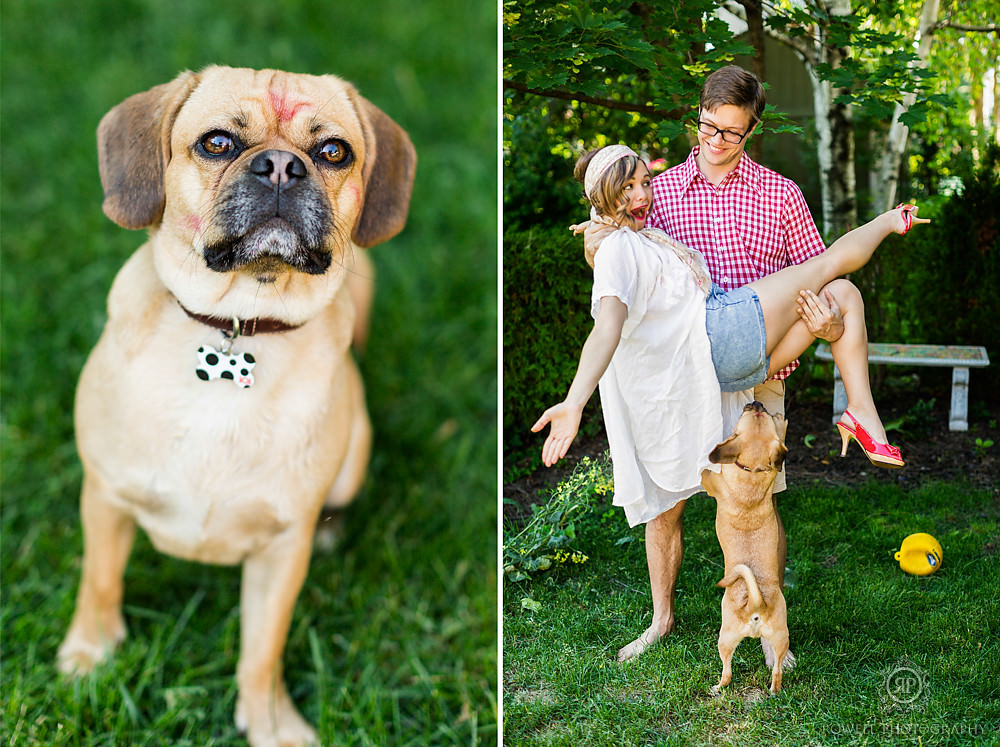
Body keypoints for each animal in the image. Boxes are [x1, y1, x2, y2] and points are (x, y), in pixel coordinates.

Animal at [56, 65, 416, 747]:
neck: (236, 328)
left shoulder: (281, 549)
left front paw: (270, 721)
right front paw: (88, 657)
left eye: (334, 152)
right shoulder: (105, 496)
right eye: (218, 143)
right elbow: (100, 582)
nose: (280, 166)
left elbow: (262, 648)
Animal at [700, 400, 792, 700]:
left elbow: (707, 475)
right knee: (777, 671)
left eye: (748, 412)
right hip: (780, 638)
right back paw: (774, 691)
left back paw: (717, 687)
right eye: (757, 413)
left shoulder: (713, 483)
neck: (753, 470)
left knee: (727, 672)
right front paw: (782, 423)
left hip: (725, 639)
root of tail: (756, 605)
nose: (756, 402)